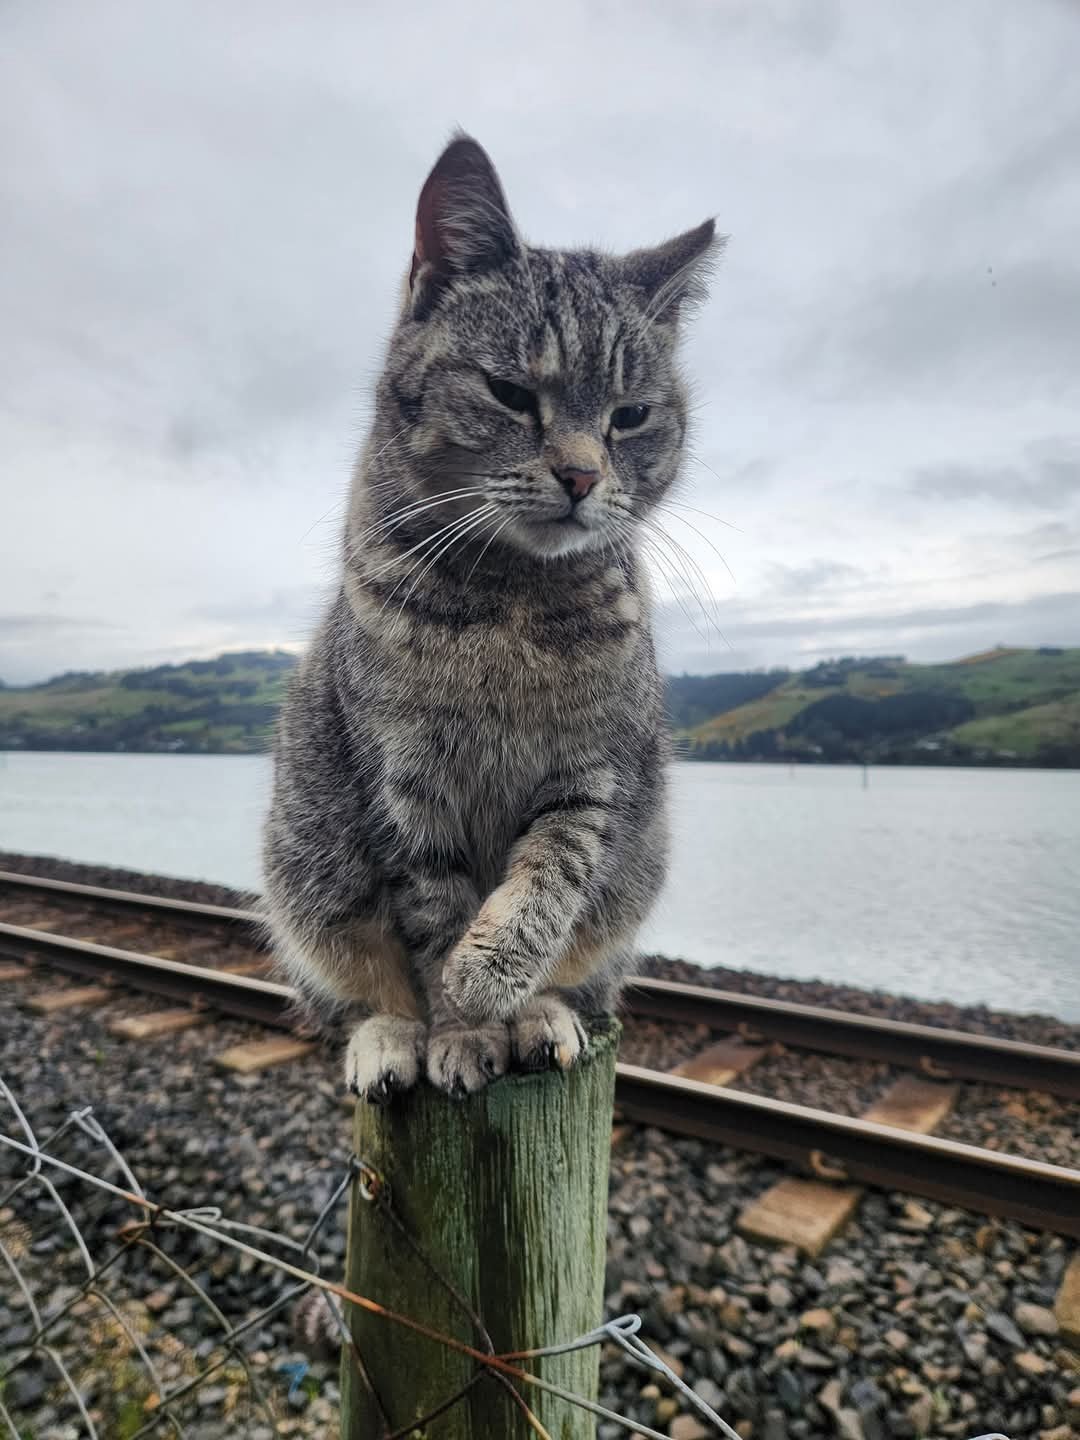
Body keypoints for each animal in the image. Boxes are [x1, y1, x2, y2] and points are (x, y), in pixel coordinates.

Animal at [262, 135, 720, 1100]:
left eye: (630, 416)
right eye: (511, 393)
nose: (582, 474)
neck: (513, 601)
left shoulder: (592, 772)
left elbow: (551, 879)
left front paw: (496, 980)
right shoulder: (404, 790)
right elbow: (433, 918)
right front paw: (460, 1024)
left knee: (585, 973)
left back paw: (542, 1017)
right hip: (305, 884)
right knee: (354, 997)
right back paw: (391, 1038)